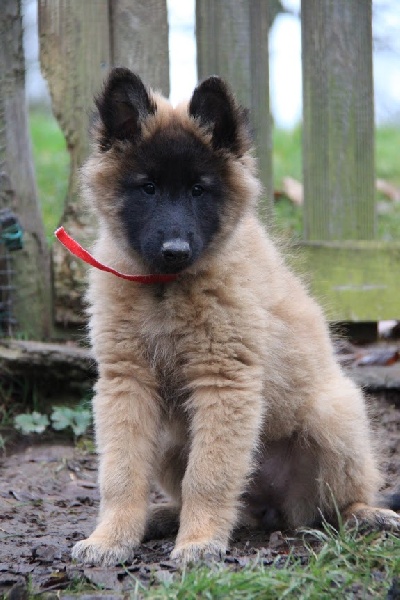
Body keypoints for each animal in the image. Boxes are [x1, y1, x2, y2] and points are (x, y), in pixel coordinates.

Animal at [72, 68, 400, 564]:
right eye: (148, 187)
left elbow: (208, 475)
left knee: (335, 504)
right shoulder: (126, 383)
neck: (166, 288)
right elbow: (121, 473)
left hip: (332, 417)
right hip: (171, 441)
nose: (174, 251)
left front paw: (199, 542)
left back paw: (365, 514)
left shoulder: (223, 381)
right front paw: (112, 537)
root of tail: (273, 507)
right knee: (235, 506)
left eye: (199, 189)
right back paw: (165, 516)